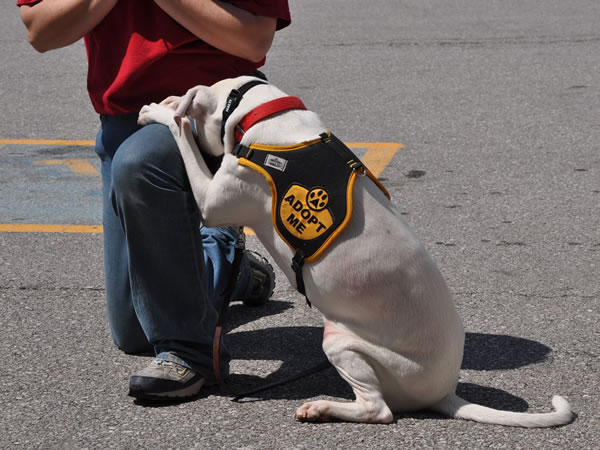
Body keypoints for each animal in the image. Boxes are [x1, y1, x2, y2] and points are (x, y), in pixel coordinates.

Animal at [137, 75, 574, 427]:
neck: (261, 112)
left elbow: (183, 134)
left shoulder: (214, 200)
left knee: (378, 410)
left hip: (340, 340)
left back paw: (322, 408)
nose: (160, 98)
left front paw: (159, 110)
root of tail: (444, 392)